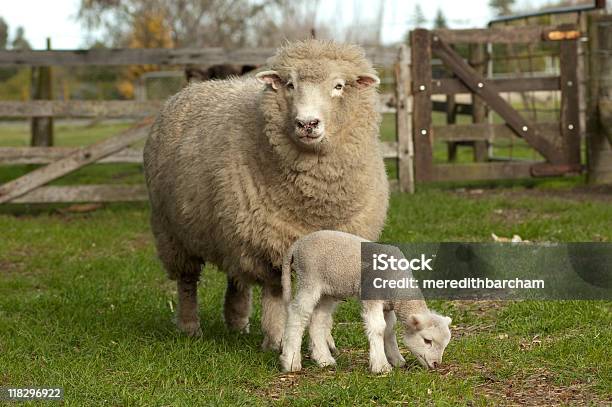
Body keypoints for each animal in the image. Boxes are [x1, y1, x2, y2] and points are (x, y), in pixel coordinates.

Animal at [145, 39, 388, 350]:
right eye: (290, 84)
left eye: (339, 86)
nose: (307, 124)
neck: (315, 201)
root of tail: (193, 88)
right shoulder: (268, 243)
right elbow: (274, 291)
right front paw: (276, 338)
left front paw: (326, 340)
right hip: (172, 231)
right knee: (187, 280)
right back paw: (189, 327)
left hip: (230, 228)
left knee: (236, 275)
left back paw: (237, 322)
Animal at [280, 231, 452, 374]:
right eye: (427, 340)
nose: (436, 364)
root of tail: (298, 244)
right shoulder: (372, 298)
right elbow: (378, 328)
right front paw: (381, 366)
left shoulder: (387, 306)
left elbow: (389, 329)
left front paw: (396, 360)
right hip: (310, 279)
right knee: (298, 314)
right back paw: (291, 361)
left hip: (328, 290)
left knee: (318, 319)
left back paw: (324, 359)